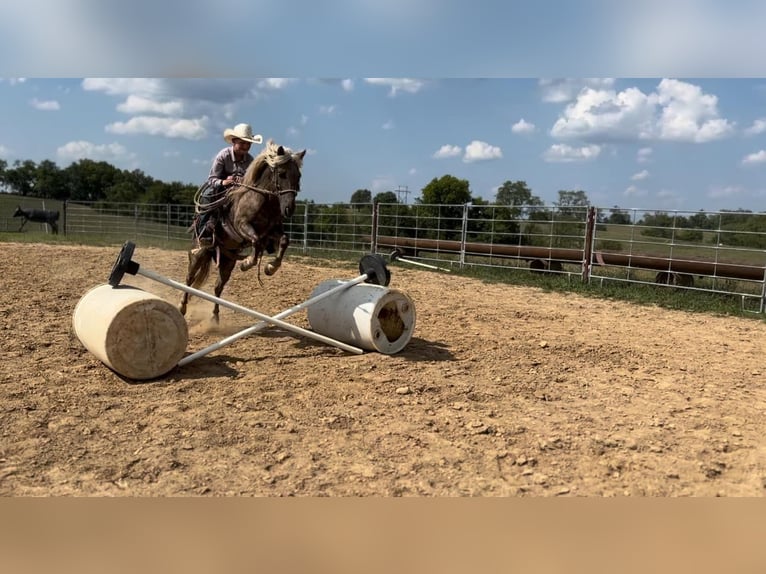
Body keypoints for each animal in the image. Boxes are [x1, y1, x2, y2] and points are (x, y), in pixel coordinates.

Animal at [179, 140, 306, 322]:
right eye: (282, 174)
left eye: (298, 176)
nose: (289, 209)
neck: (262, 200)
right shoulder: (242, 225)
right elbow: (256, 242)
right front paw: (247, 263)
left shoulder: (271, 231)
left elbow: (283, 240)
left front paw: (270, 267)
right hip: (198, 254)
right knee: (189, 280)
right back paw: (182, 308)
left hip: (227, 262)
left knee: (218, 287)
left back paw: (215, 317)